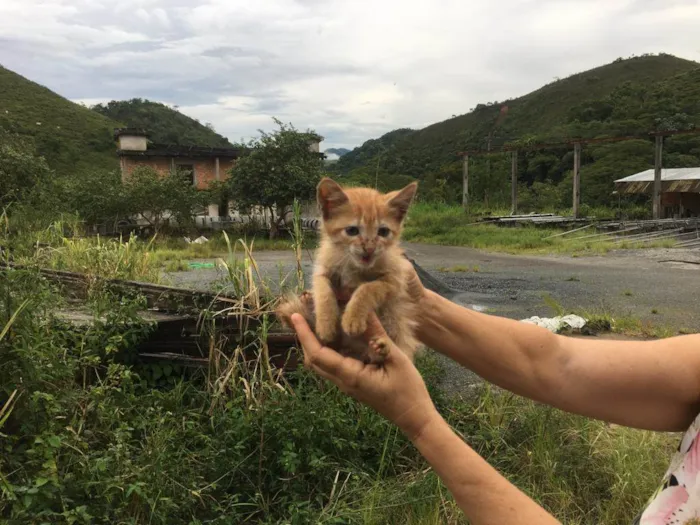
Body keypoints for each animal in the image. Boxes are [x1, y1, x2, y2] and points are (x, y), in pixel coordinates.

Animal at [278, 178, 422, 362]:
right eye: (352, 230)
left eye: (383, 232)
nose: (369, 248)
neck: (353, 265)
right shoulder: (322, 268)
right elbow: (323, 290)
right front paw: (325, 323)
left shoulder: (396, 279)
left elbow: (368, 288)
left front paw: (353, 318)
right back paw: (308, 300)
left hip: (396, 327)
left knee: (378, 356)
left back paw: (379, 349)